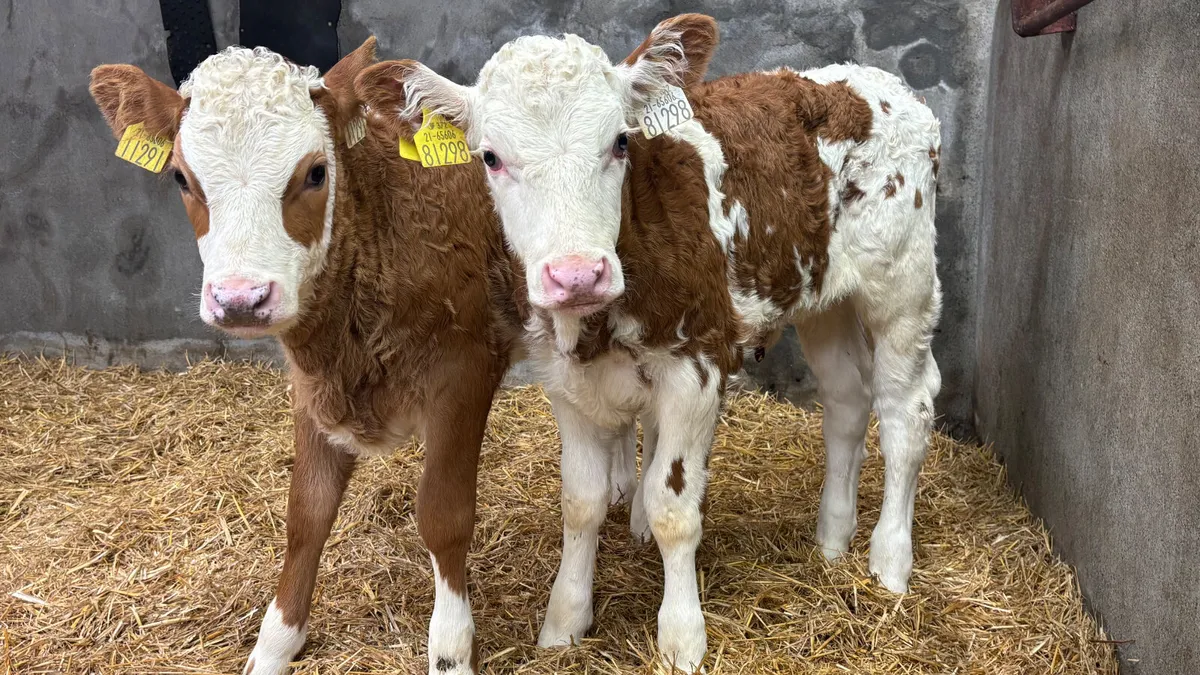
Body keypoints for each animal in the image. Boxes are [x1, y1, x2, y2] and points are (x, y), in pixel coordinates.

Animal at [89, 39, 523, 675]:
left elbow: (444, 516)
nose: (240, 299)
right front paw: (276, 643)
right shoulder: (314, 384)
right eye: (181, 179)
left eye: (316, 173)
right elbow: (306, 514)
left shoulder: (466, 367)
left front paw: (450, 649)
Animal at [369, 13, 944, 672]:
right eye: (490, 157)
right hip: (822, 296)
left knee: (905, 413)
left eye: (621, 142)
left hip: (901, 286)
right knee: (847, 400)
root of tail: (878, 83)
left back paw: (889, 561)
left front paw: (681, 638)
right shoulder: (563, 381)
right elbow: (582, 502)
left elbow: (673, 510)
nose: (576, 274)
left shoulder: (696, 365)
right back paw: (832, 539)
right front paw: (564, 622)